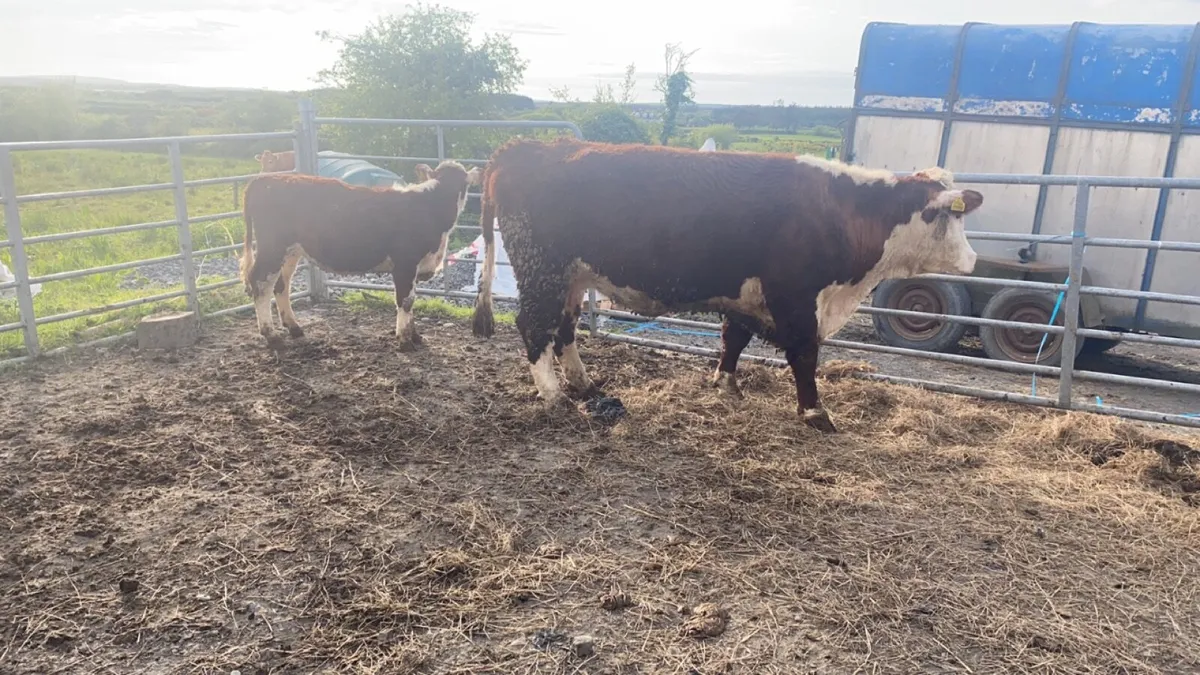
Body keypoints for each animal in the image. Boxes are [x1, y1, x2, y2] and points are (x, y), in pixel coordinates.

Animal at [240, 160, 481, 347]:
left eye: (463, 184)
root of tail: (265, 180)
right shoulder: (405, 263)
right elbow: (406, 300)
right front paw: (404, 339)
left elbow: (412, 298)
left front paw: (415, 336)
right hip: (272, 248)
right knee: (260, 284)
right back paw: (271, 334)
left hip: (291, 251)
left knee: (281, 285)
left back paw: (294, 327)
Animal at [469, 138, 983, 433]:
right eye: (949, 216)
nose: (973, 260)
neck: (841, 211)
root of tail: (526, 146)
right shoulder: (797, 297)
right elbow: (805, 355)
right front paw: (815, 413)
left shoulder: (747, 296)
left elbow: (733, 338)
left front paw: (726, 384)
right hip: (542, 268)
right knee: (533, 325)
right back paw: (553, 395)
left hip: (571, 276)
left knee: (564, 327)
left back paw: (583, 382)